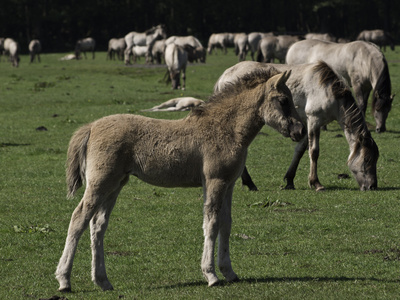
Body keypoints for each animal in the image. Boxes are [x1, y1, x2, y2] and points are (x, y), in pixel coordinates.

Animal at [54, 68, 306, 290]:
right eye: (284, 100)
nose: (300, 131)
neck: (225, 129)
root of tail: (91, 126)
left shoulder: (229, 184)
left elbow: (226, 224)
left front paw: (229, 272)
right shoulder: (214, 181)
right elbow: (211, 224)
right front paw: (211, 275)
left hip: (115, 185)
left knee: (98, 225)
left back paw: (103, 281)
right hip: (100, 183)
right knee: (78, 219)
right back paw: (64, 280)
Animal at [216, 60, 378, 191]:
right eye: (367, 160)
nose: (372, 186)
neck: (328, 91)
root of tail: (223, 76)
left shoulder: (305, 124)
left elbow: (300, 150)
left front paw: (290, 180)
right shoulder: (314, 120)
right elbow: (314, 151)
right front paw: (316, 183)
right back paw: (249, 182)